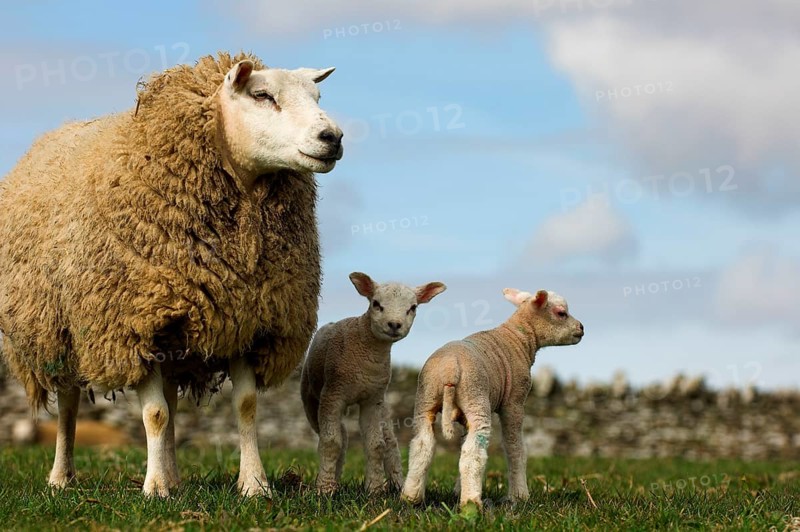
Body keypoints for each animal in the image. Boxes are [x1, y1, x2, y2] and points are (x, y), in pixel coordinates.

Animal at [0, 52, 343, 497]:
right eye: (262, 95)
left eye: (317, 97)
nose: (332, 137)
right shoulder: (132, 326)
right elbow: (155, 414)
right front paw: (154, 489)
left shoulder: (246, 318)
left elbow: (245, 406)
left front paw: (255, 485)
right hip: (59, 332)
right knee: (69, 405)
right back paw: (62, 477)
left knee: (170, 400)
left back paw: (174, 475)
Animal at [301, 272, 446, 494]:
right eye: (376, 304)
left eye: (412, 307)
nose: (394, 324)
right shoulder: (332, 395)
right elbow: (331, 442)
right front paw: (324, 489)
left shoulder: (372, 399)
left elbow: (376, 444)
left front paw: (375, 490)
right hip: (311, 398)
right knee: (340, 437)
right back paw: (334, 479)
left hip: (382, 404)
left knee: (390, 441)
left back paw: (397, 484)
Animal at [401, 288, 584, 508]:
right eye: (561, 313)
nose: (582, 328)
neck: (520, 338)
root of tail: (450, 368)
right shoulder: (514, 402)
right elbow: (515, 447)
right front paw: (519, 495)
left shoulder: (464, 416)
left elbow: (462, 445)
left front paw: (458, 489)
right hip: (476, 398)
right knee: (474, 452)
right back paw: (471, 502)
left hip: (426, 398)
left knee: (422, 445)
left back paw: (411, 497)